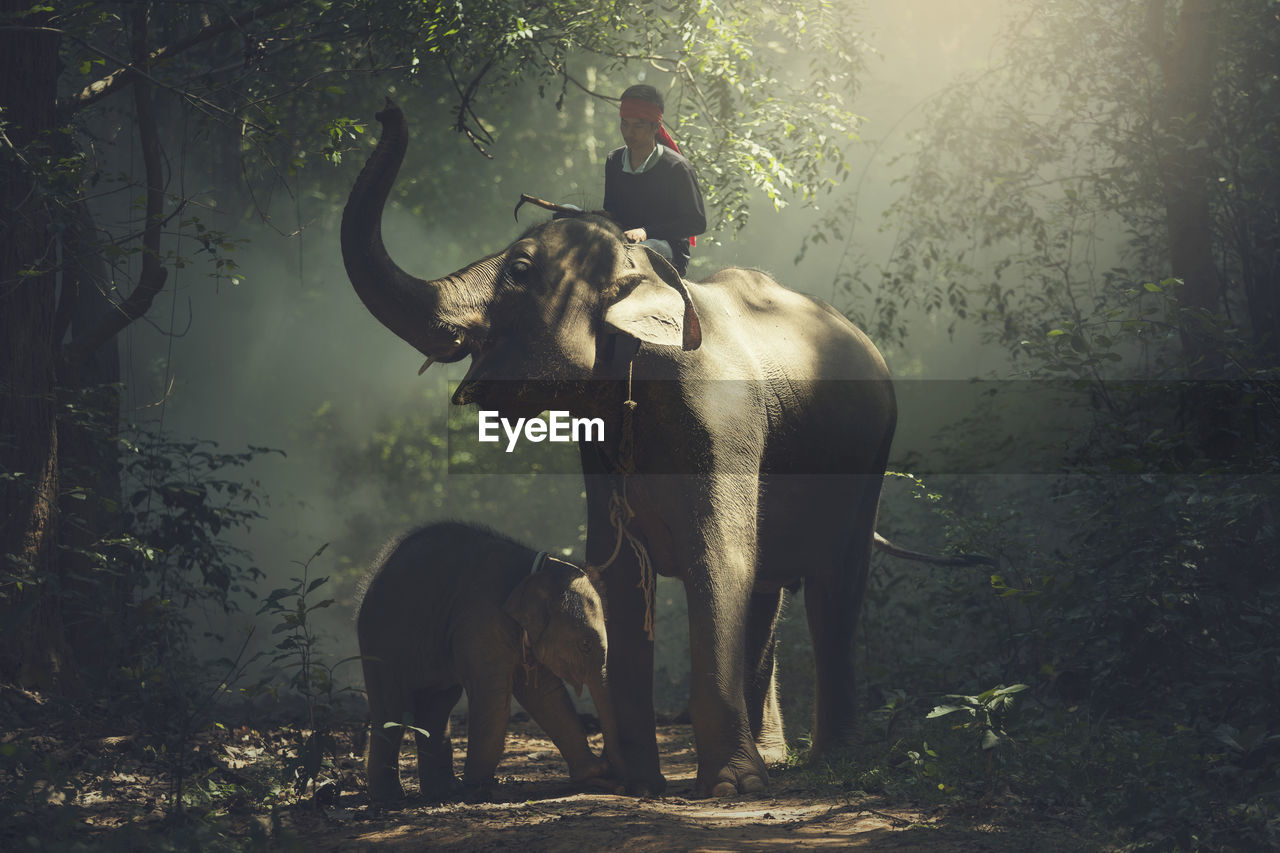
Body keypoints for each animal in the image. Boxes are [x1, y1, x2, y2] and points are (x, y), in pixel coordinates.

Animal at [358, 514, 622, 799]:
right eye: (585, 645)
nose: (615, 777)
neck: (537, 568)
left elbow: (543, 692)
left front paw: (592, 774)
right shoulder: (481, 621)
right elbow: (492, 694)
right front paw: (475, 787)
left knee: (437, 706)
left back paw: (443, 792)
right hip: (382, 642)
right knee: (393, 707)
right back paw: (391, 799)